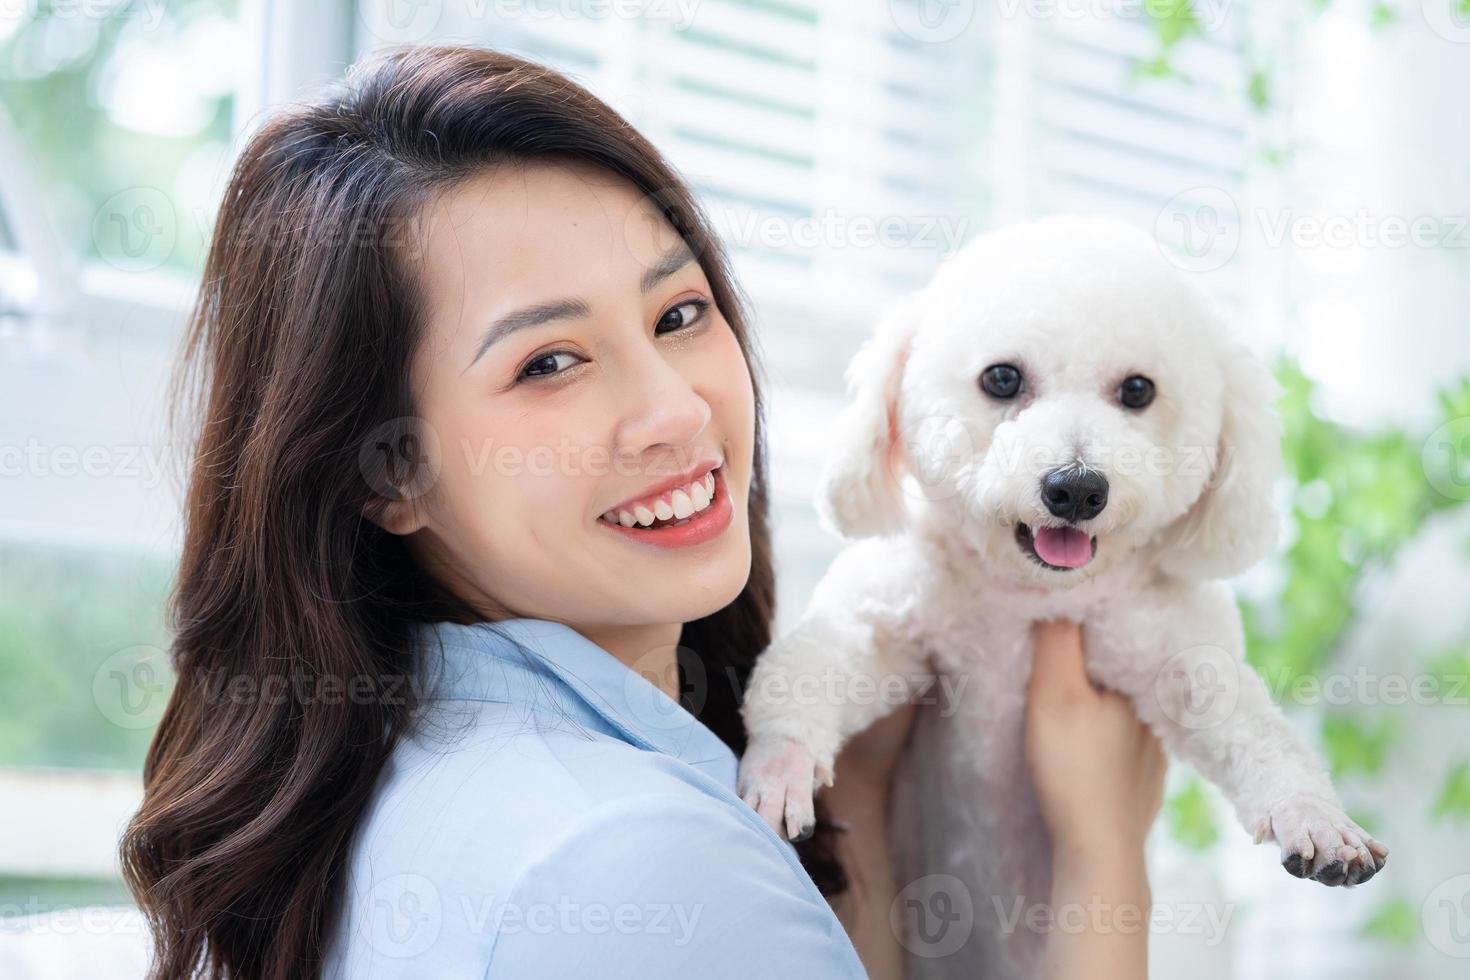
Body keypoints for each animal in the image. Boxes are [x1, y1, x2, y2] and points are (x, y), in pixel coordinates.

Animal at [740, 215, 1393, 980]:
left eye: (1138, 390)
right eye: (1001, 378)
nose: (1076, 488)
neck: (1034, 600)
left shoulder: (1177, 658)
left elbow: (1255, 732)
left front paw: (1314, 816)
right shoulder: (890, 628)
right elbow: (811, 666)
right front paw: (781, 763)